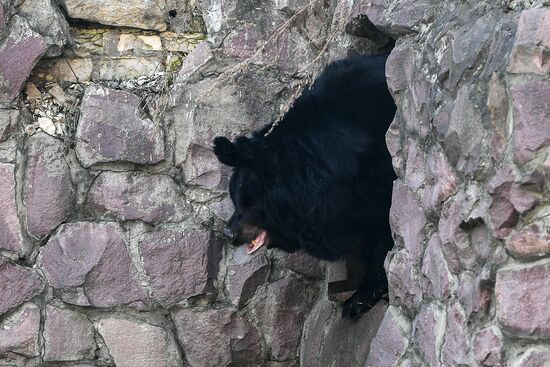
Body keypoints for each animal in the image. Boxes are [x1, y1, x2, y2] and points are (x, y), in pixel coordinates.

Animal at [213, 54, 398, 320]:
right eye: (234, 200)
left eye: (249, 203)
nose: (229, 233)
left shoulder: (374, 181)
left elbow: (380, 231)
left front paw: (359, 299)